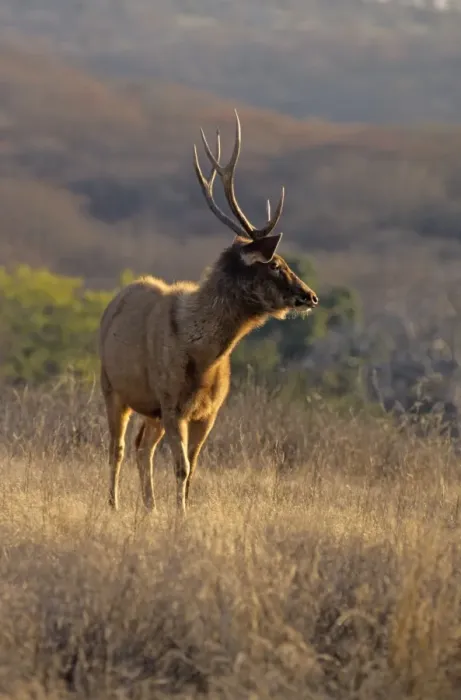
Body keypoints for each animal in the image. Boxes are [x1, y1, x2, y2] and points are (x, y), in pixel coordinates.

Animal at [98, 110, 318, 516]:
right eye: (275, 264)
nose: (310, 296)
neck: (202, 355)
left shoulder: (207, 411)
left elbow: (193, 468)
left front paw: (180, 512)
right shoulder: (172, 403)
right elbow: (182, 467)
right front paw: (180, 516)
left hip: (150, 408)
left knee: (141, 447)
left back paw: (150, 507)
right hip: (112, 386)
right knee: (117, 448)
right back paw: (114, 504)